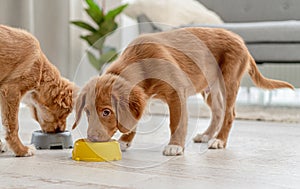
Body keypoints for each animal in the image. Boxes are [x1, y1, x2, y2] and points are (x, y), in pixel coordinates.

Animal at [0, 24, 77, 156]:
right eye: (64, 114)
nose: (61, 130)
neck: (41, 70)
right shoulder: (11, 90)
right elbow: (13, 125)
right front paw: (22, 150)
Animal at [72, 27, 292, 156]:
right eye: (87, 112)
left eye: (106, 112)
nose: (91, 138)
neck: (140, 62)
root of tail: (240, 40)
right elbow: (133, 120)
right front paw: (125, 142)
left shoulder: (176, 93)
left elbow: (176, 122)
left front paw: (175, 146)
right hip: (209, 88)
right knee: (218, 111)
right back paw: (206, 135)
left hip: (229, 81)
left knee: (229, 113)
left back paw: (219, 140)